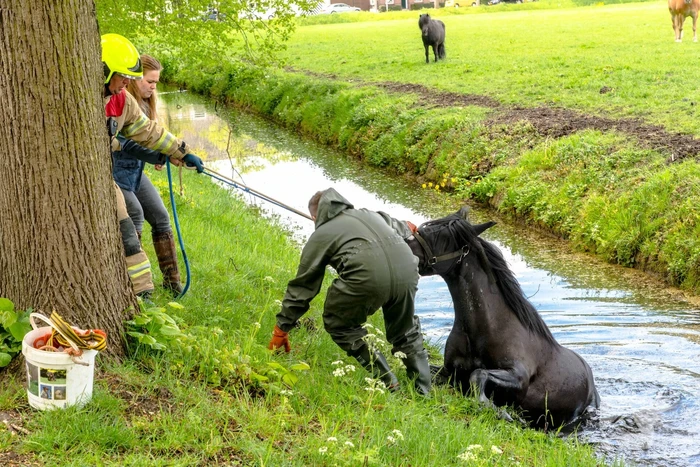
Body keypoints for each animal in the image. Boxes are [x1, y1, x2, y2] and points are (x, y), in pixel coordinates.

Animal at [406, 207, 600, 430]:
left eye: (440, 237)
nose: (403, 245)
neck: (487, 329)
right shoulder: (449, 372)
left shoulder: (517, 376)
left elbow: (478, 374)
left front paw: (501, 411)